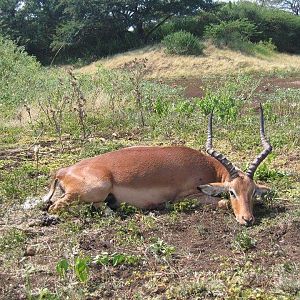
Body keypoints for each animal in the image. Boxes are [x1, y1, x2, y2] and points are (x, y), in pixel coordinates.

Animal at [44, 104, 272, 224]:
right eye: (232, 192)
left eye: (252, 191)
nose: (247, 219)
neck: (207, 167)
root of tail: (63, 171)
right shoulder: (186, 197)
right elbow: (222, 202)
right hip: (95, 188)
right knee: (55, 207)